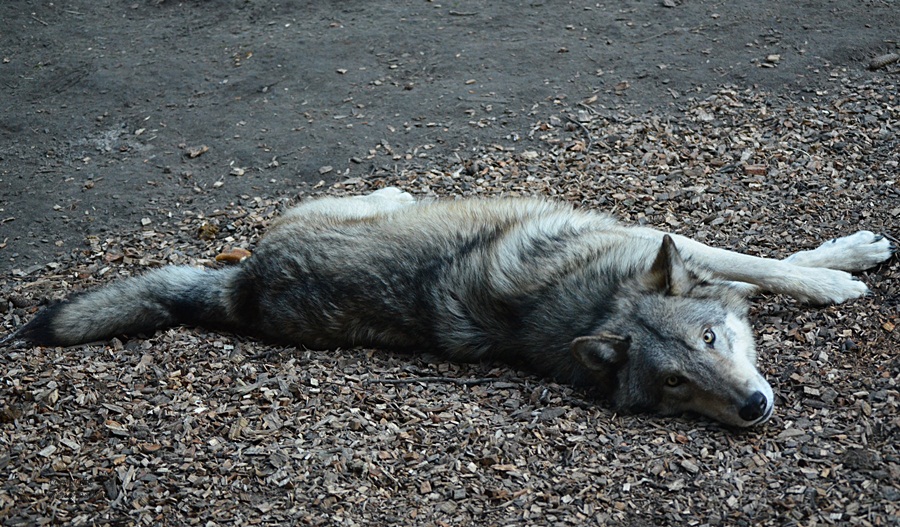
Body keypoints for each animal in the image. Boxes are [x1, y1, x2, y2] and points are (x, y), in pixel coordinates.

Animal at [3, 190, 896, 428]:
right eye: (676, 383)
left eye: (713, 340)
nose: (752, 408)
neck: (595, 297)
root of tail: (243, 288)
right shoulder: (656, 240)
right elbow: (770, 266)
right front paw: (844, 276)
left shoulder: (658, 242)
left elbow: (764, 265)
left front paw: (845, 259)